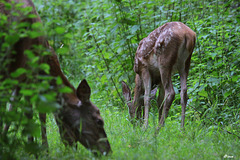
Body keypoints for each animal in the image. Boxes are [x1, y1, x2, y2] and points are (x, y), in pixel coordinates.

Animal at [0, 0, 111, 155]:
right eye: (99, 121)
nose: (108, 151)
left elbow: (12, 110)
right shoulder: (29, 73)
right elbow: (36, 112)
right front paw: (39, 149)